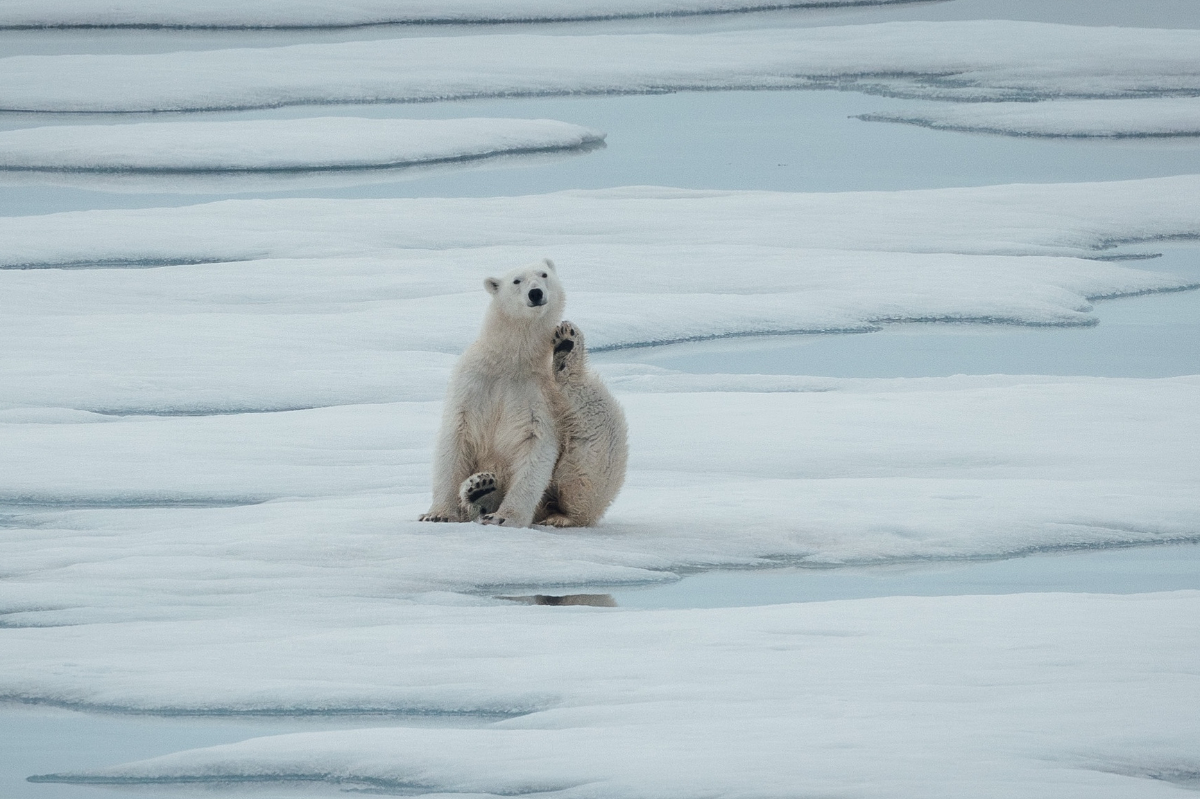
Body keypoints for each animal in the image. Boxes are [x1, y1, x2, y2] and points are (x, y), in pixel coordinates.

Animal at [419, 258, 627, 528]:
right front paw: (438, 513)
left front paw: (503, 517)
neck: (511, 360)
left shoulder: (539, 393)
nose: (535, 293)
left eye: (544, 274)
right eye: (517, 280)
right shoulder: (472, 383)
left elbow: (536, 444)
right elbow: (455, 438)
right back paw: (480, 489)